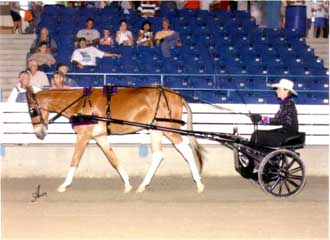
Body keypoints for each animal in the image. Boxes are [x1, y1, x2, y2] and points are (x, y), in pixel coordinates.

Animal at [25, 86, 205, 193]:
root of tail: (176, 95)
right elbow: (113, 159)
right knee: (158, 155)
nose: (39, 133)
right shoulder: (100, 137)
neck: (81, 103)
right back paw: (142, 185)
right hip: (156, 130)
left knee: (186, 151)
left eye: (32, 110)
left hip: (169, 129)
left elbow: (75, 160)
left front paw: (64, 185)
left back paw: (199, 183)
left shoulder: (83, 136)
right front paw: (127, 184)